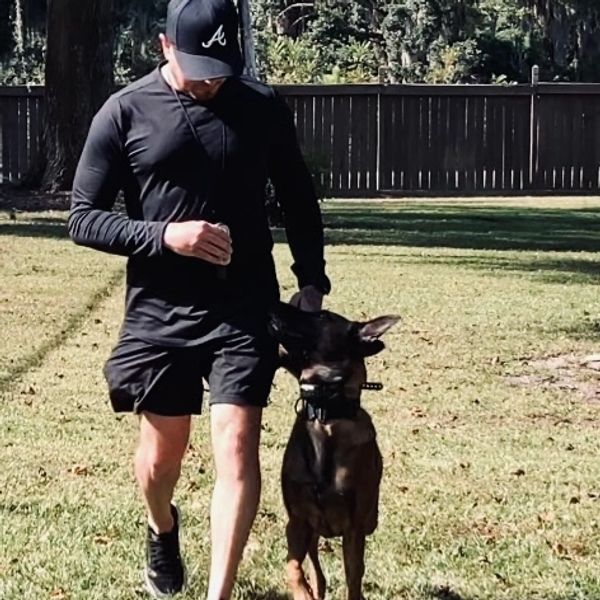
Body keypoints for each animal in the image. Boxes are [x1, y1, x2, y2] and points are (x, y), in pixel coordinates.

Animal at [268, 302, 399, 600]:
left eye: (321, 316)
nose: (276, 303)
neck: (326, 413)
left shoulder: (354, 529)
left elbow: (354, 579)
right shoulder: (297, 522)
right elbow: (292, 568)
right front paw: (302, 592)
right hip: (312, 532)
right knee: (317, 570)